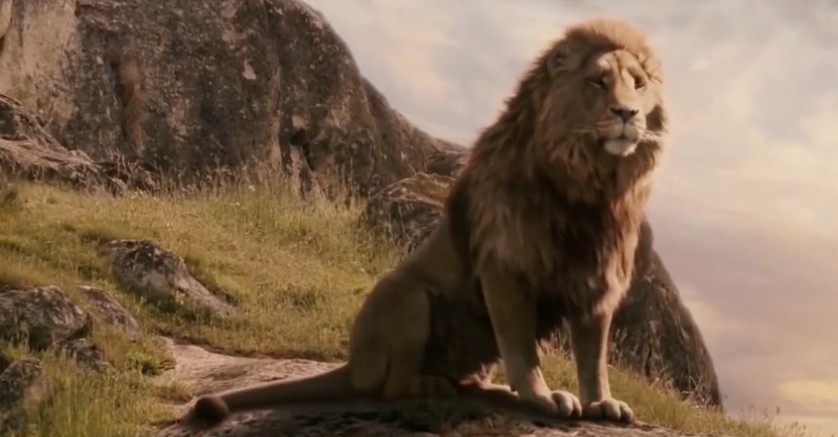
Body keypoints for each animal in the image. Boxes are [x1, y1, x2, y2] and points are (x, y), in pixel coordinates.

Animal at [182, 16, 668, 428]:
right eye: (598, 81)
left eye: (638, 84)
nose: (628, 114)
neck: (591, 184)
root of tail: (352, 364)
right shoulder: (506, 267)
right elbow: (522, 349)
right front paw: (543, 397)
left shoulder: (597, 279)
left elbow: (593, 358)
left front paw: (603, 403)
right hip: (407, 295)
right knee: (389, 385)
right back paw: (428, 385)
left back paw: (486, 388)